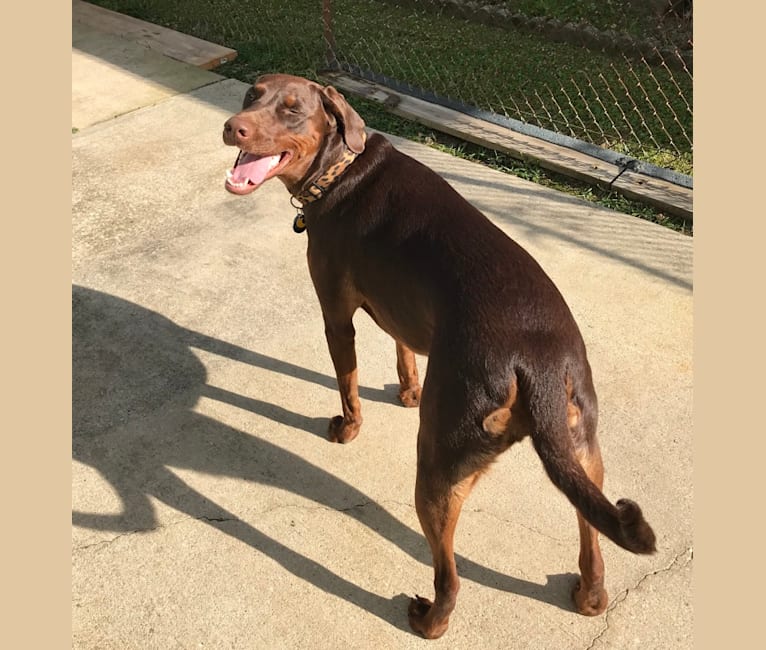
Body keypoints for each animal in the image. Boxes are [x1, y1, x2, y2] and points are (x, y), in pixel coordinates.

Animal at [220, 74, 656, 636]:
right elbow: (404, 351)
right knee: (592, 530)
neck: (342, 171)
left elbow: (347, 383)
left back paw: (428, 620)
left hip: (439, 464)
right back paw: (589, 595)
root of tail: (536, 360)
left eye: (293, 110)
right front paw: (408, 392)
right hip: (582, 447)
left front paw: (347, 428)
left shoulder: (336, 315)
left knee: (450, 575)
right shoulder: (401, 308)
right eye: (252, 94)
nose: (233, 127)